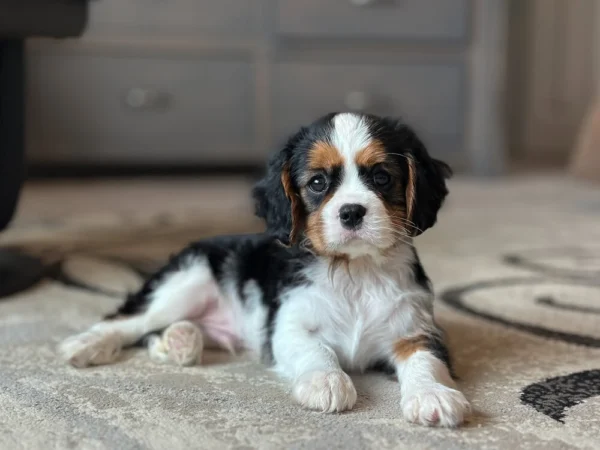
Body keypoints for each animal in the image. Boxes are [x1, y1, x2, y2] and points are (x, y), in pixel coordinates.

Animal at [62, 111, 474, 426]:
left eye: (382, 177)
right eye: (318, 182)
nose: (352, 212)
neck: (354, 270)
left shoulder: (416, 329)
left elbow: (425, 361)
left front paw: (434, 395)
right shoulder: (287, 325)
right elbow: (315, 349)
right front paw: (327, 382)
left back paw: (179, 341)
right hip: (186, 282)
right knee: (129, 320)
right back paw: (85, 344)